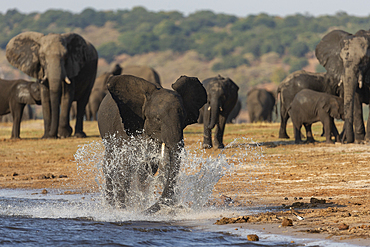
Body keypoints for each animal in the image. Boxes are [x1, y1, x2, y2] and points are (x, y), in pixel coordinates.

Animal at [98, 74, 207, 213]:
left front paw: (137, 207)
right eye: (157, 119)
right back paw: (111, 206)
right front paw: (123, 210)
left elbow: (149, 168)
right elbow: (125, 166)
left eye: (183, 118)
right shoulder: (125, 127)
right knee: (109, 165)